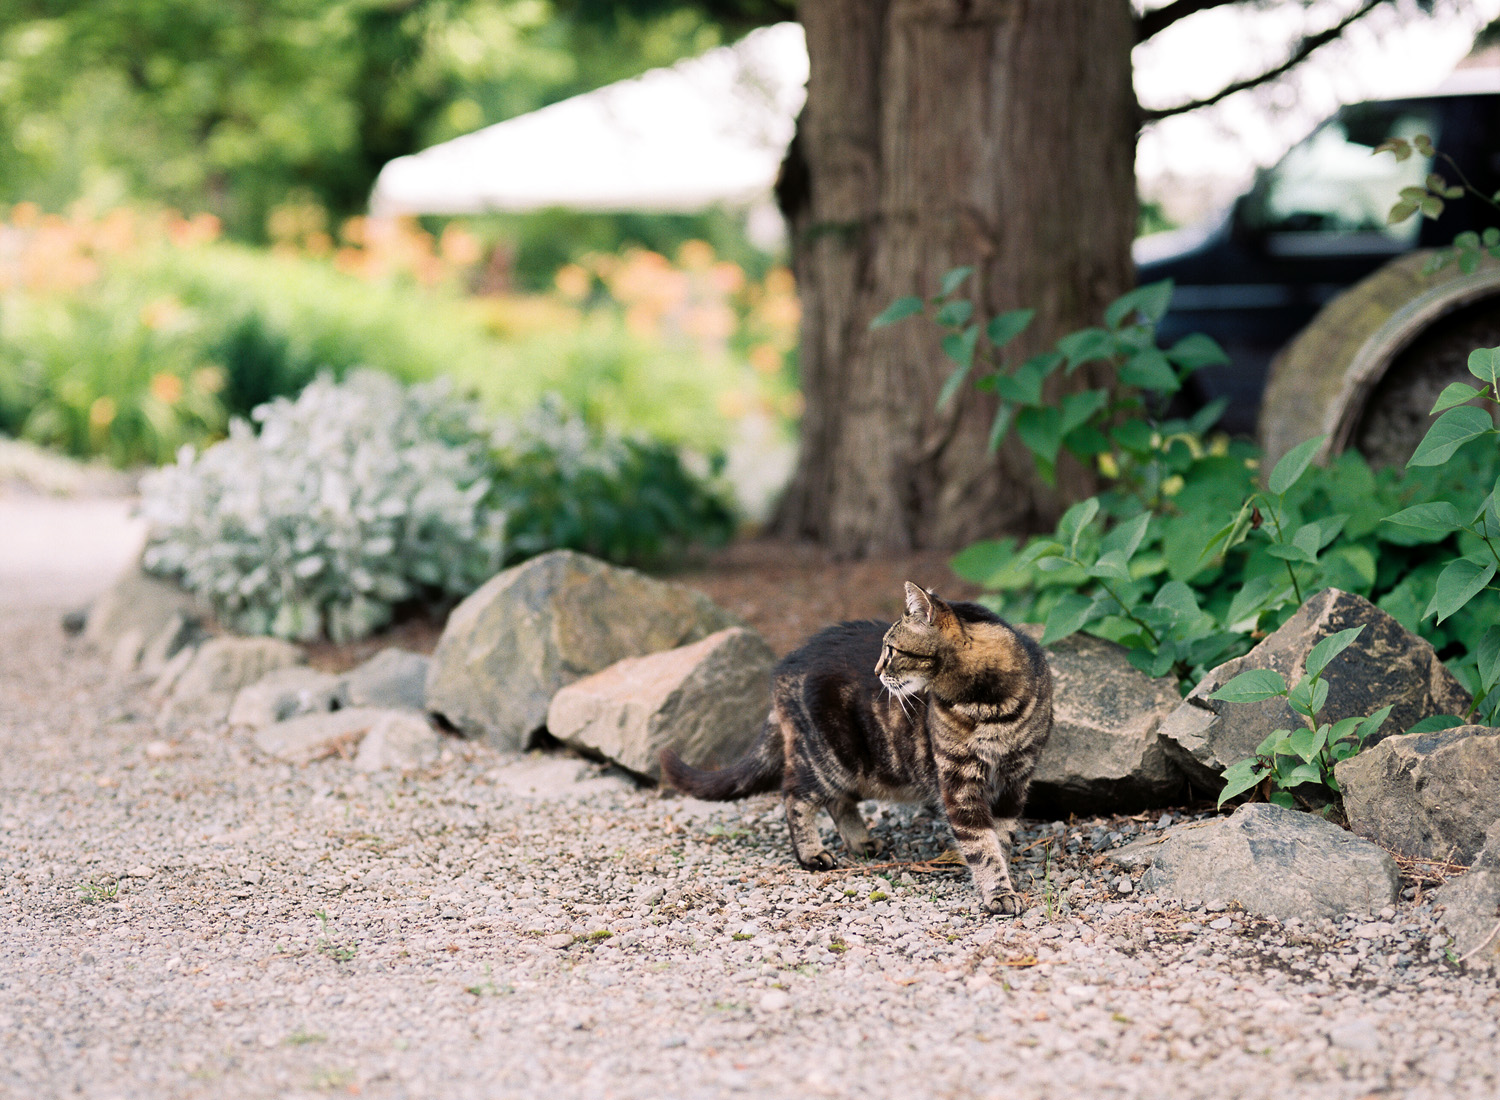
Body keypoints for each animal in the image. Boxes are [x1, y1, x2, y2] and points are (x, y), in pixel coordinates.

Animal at [657, 582, 1056, 912]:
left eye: (891, 649)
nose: (877, 671)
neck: (989, 705)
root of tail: (786, 663)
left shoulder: (1015, 779)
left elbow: (1001, 837)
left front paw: (1005, 878)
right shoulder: (959, 781)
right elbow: (980, 844)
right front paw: (998, 893)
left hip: (858, 764)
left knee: (837, 801)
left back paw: (860, 842)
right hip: (829, 756)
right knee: (795, 795)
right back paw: (813, 854)